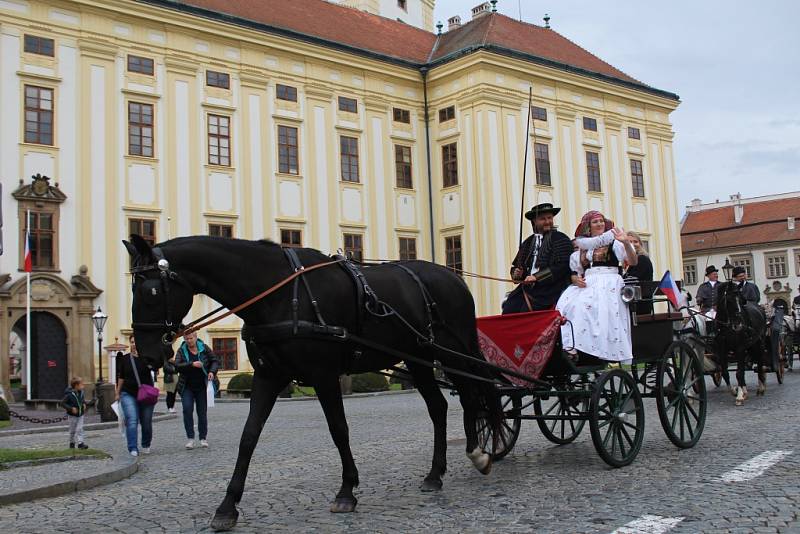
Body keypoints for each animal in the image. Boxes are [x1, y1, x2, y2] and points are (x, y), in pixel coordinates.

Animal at [124, 236, 500, 532]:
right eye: (133, 290)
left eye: (152, 291)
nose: (148, 355)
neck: (278, 295)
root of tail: (452, 276)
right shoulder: (268, 377)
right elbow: (249, 437)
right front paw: (227, 507)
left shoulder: (323, 375)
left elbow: (338, 430)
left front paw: (347, 491)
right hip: (418, 358)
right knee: (439, 407)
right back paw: (435, 474)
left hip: (451, 352)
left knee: (471, 394)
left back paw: (478, 453)